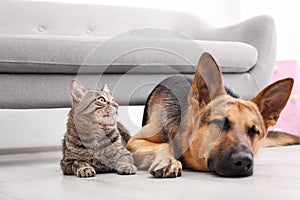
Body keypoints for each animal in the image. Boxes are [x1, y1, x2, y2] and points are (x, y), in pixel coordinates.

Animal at [126, 52, 300, 177]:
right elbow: (164, 145)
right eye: (219, 124)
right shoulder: (134, 141)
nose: (244, 161)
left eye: (254, 131)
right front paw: (169, 161)